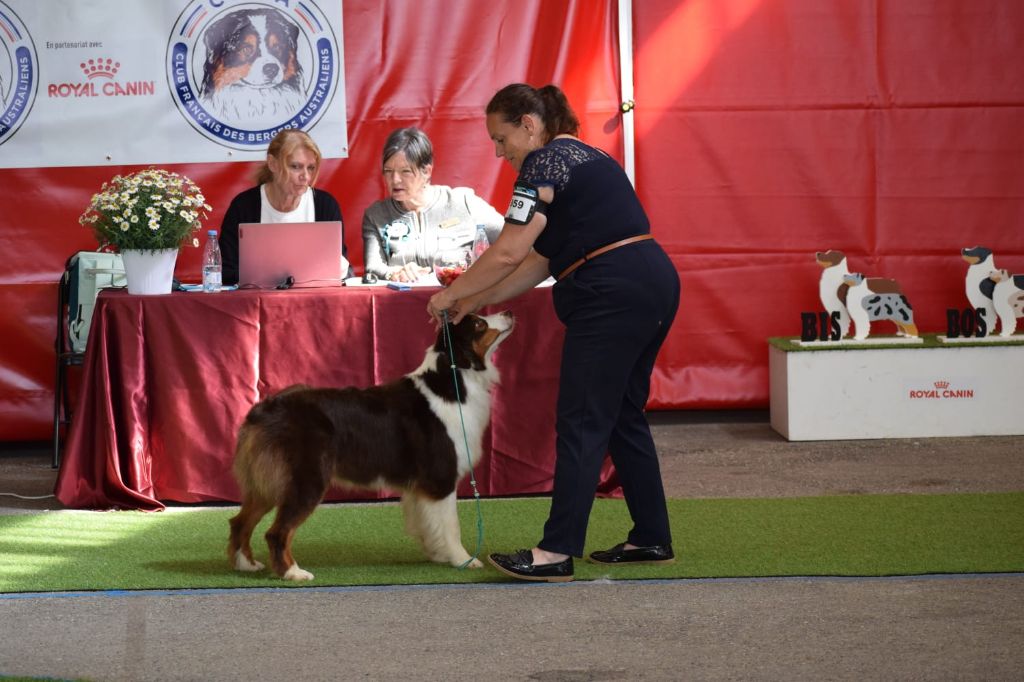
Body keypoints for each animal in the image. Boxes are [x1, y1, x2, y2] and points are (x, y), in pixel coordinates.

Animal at [225, 311, 512, 577]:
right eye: (479, 324)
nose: (508, 312)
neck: (454, 381)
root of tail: (262, 410)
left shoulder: (421, 487)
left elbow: (429, 523)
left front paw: (438, 554)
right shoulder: (441, 477)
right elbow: (451, 525)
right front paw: (463, 559)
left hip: (265, 482)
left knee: (239, 521)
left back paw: (246, 564)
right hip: (306, 479)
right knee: (276, 532)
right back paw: (293, 572)